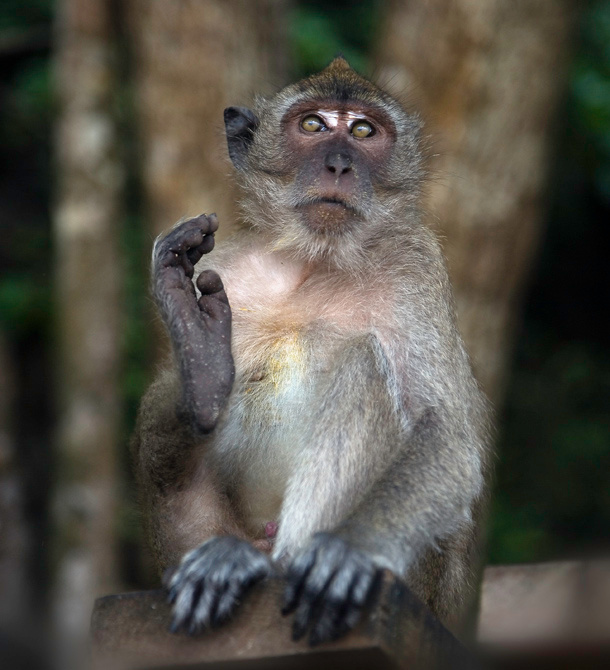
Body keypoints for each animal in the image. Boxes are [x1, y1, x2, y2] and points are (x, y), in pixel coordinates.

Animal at [131, 57, 491, 646]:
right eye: (313, 126)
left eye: (363, 131)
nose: (339, 165)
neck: (313, 263)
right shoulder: (227, 269)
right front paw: (198, 356)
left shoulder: (416, 266)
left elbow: (447, 437)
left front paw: (349, 550)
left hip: (424, 580)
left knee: (365, 364)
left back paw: (279, 564)